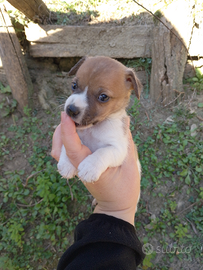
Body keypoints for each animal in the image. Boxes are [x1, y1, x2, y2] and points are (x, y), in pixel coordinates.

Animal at [58, 56, 142, 184]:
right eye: (74, 85)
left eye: (103, 97)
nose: (71, 109)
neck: (93, 129)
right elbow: (66, 145)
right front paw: (67, 163)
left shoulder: (119, 149)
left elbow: (103, 152)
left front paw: (90, 167)